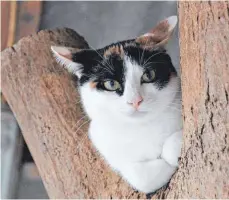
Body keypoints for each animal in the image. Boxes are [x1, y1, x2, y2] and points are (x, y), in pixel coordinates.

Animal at [51, 16, 182, 195]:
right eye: (111, 84)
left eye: (149, 75)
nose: (135, 100)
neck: (142, 127)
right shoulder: (101, 140)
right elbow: (140, 176)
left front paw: (173, 150)